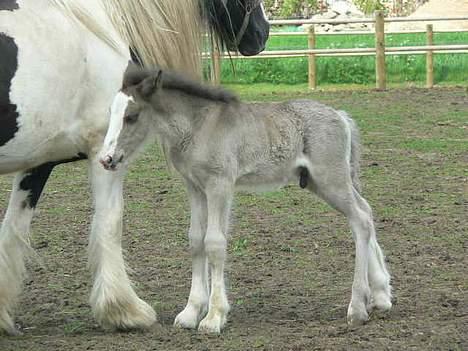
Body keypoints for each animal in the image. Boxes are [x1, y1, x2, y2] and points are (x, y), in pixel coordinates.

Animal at [0, 0, 268, 336]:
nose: (263, 33)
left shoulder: (38, 159)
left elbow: (12, 227)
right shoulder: (104, 154)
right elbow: (109, 223)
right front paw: (125, 310)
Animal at [100, 66, 394, 336]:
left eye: (131, 116)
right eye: (111, 113)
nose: (106, 158)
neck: (198, 126)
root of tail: (340, 116)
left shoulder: (220, 185)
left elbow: (214, 243)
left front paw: (214, 317)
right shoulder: (195, 188)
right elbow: (195, 240)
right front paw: (191, 312)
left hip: (330, 180)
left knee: (360, 219)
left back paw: (357, 308)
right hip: (319, 182)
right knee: (366, 212)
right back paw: (381, 295)